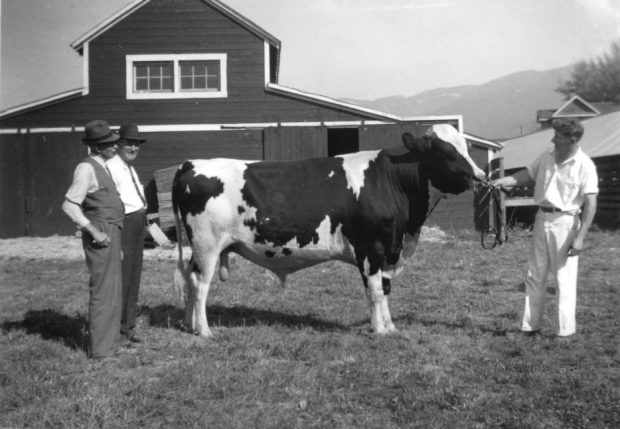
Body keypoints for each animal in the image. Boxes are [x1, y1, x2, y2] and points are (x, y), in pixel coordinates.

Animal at [172, 124, 486, 338]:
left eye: (466, 148)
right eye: (445, 151)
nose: (481, 176)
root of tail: (190, 163)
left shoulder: (389, 250)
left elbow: (385, 290)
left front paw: (391, 327)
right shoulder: (371, 248)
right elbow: (375, 291)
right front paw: (379, 330)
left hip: (201, 247)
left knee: (188, 278)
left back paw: (188, 324)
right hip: (207, 244)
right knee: (200, 283)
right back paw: (204, 331)